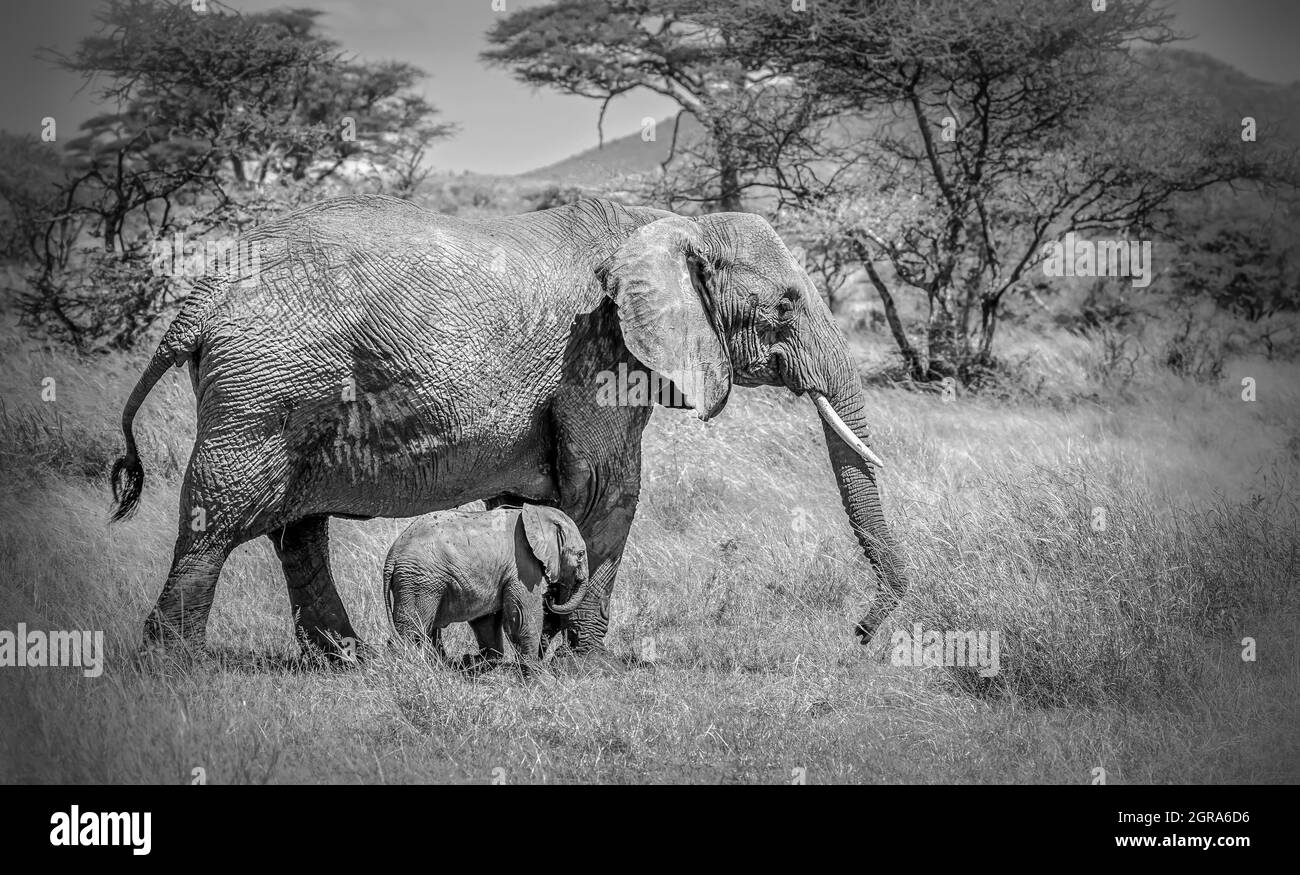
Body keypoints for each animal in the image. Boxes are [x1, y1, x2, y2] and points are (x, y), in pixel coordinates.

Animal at [383, 504, 590, 675]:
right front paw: (535, 676)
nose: (551, 595)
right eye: (580, 555)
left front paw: (473, 661)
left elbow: (487, 621)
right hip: (420, 582)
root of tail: (392, 556)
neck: (537, 511)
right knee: (412, 632)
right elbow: (523, 618)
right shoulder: (522, 567)